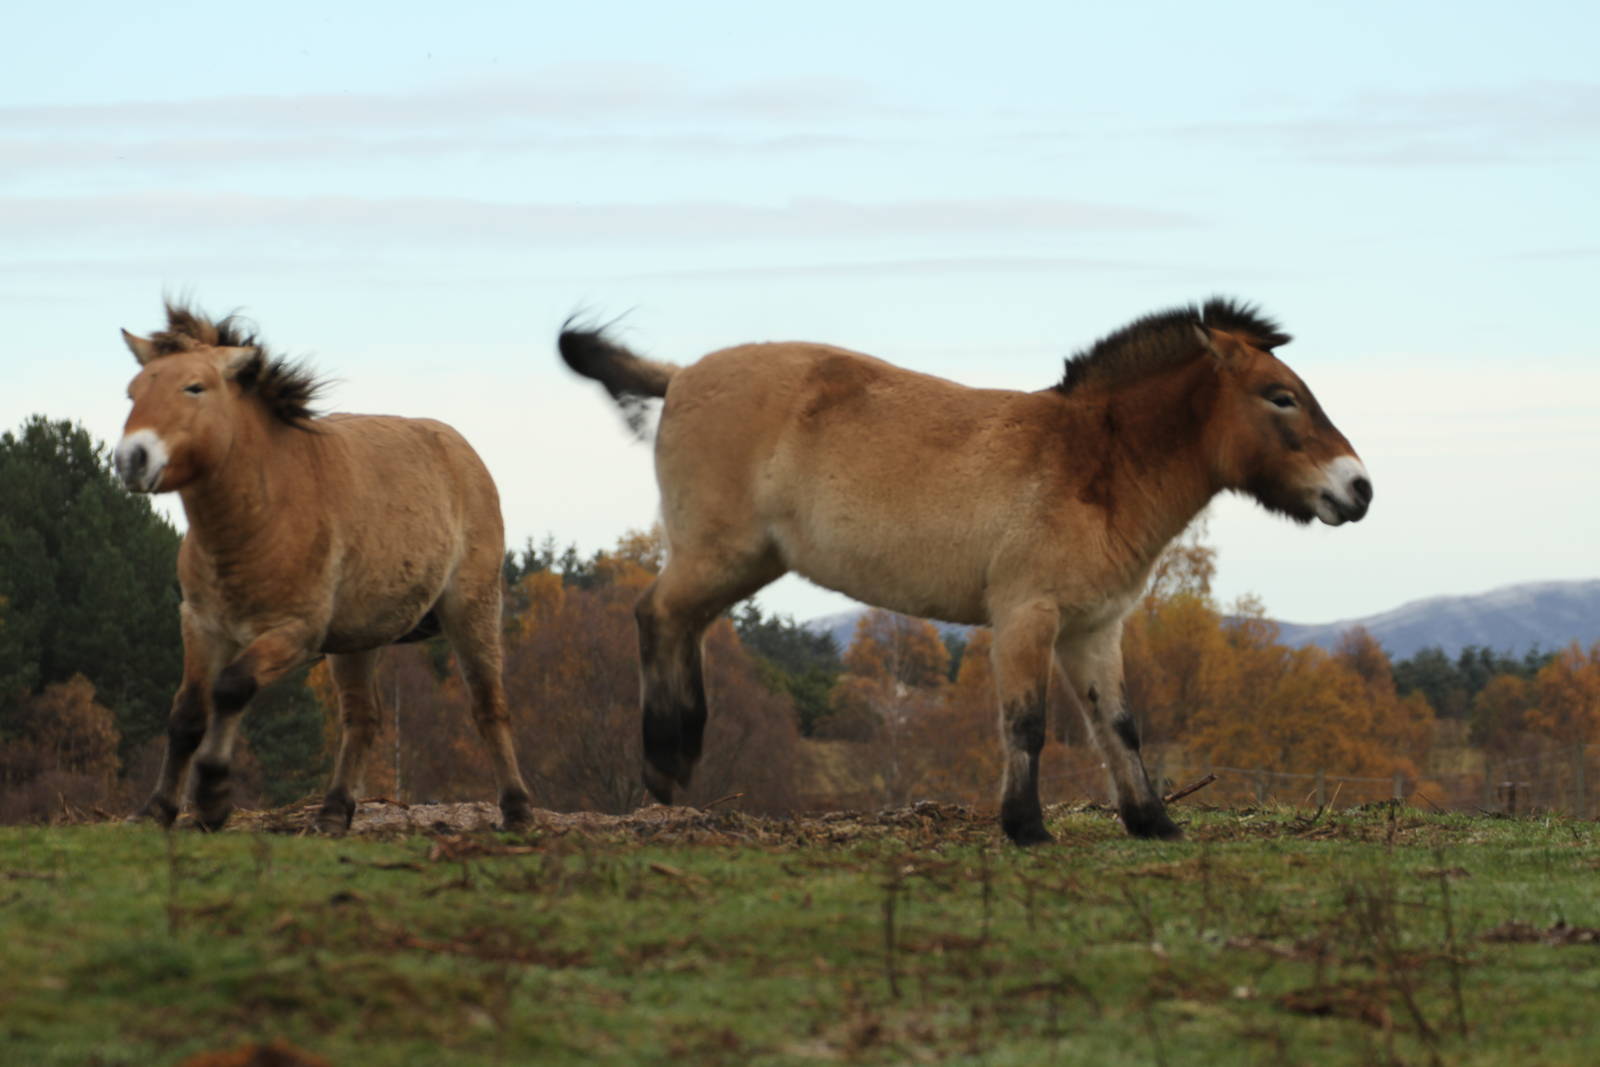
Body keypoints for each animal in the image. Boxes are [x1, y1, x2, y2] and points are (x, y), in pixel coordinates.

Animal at [115, 302, 533, 833]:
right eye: (133, 392)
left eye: (194, 387)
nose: (131, 459)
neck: (258, 515)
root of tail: (461, 451)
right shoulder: (201, 626)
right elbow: (187, 713)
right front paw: (157, 809)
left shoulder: (295, 634)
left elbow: (231, 689)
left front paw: (211, 796)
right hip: (358, 639)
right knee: (362, 717)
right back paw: (335, 810)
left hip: (471, 610)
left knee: (488, 706)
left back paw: (517, 809)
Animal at [559, 298, 1371, 846]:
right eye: (1281, 396)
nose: (1359, 488)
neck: (1094, 462)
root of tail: (680, 375)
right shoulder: (1026, 618)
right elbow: (1027, 723)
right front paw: (1026, 827)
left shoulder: (1093, 630)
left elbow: (1120, 726)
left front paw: (1152, 821)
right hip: (715, 555)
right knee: (655, 616)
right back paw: (664, 765)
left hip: (740, 564)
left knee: (682, 627)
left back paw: (678, 767)